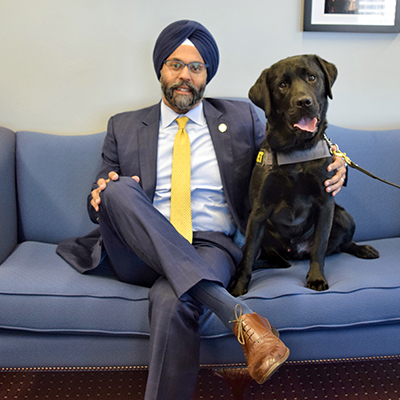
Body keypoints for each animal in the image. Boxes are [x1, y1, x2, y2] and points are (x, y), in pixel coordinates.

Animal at [228, 54, 378, 296]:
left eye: (312, 77)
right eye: (282, 85)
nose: (304, 102)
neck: (295, 151)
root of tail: (296, 253)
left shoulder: (325, 203)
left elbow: (319, 247)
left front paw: (316, 278)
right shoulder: (259, 211)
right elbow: (248, 253)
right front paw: (239, 286)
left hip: (344, 216)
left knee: (340, 245)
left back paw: (363, 249)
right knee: (274, 258)